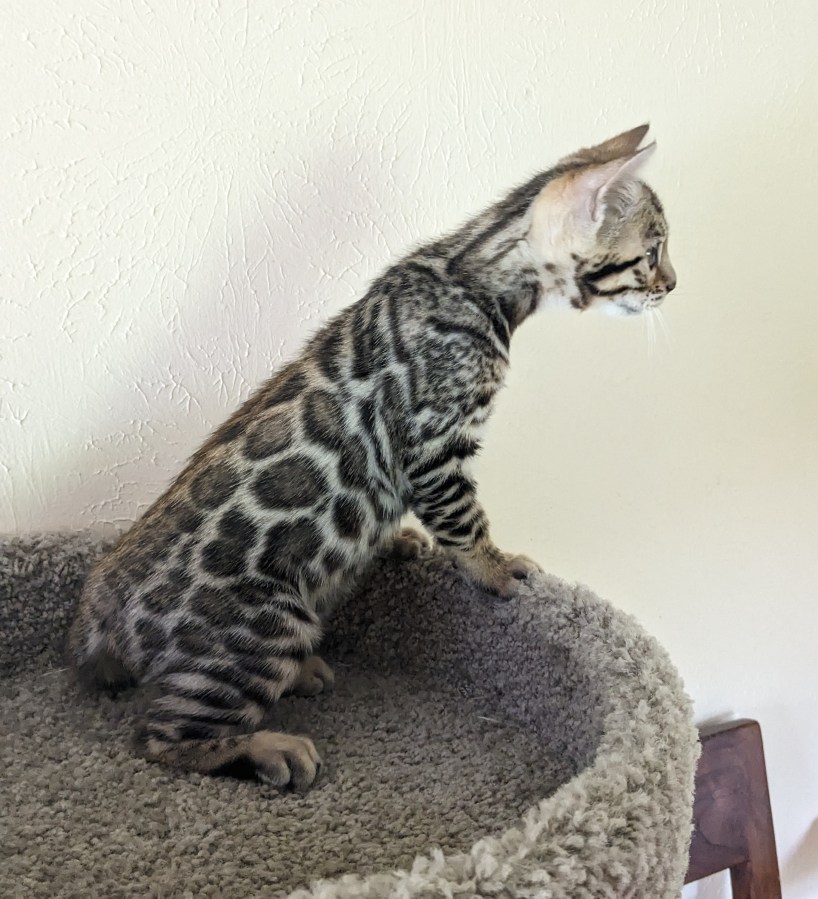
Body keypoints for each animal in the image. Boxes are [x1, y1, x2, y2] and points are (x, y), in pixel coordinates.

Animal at [67, 124, 676, 789]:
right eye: (652, 253)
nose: (672, 285)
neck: (472, 274)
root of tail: (99, 605)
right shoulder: (435, 446)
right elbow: (465, 522)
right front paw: (496, 568)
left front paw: (407, 541)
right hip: (265, 627)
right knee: (161, 736)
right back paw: (265, 746)